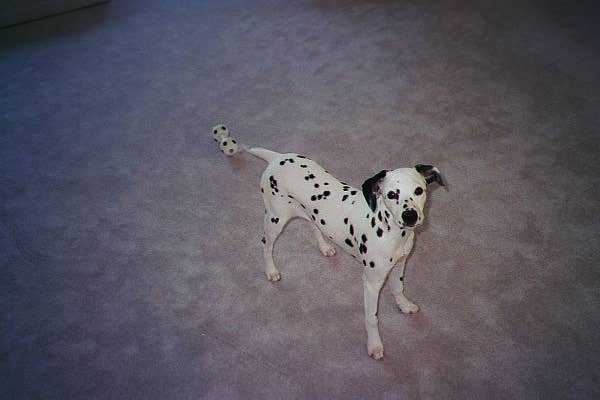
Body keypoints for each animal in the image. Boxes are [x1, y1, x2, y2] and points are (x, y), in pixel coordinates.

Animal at [212, 124, 445, 359]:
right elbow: (372, 318)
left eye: (419, 190)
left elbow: (398, 288)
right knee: (266, 245)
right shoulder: (371, 283)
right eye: (391, 194)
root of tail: (277, 158)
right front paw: (374, 344)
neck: (391, 231)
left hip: (307, 211)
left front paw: (404, 305)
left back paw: (325, 247)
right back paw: (271, 270)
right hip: (275, 219)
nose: (410, 216)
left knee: (313, 225)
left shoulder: (400, 265)